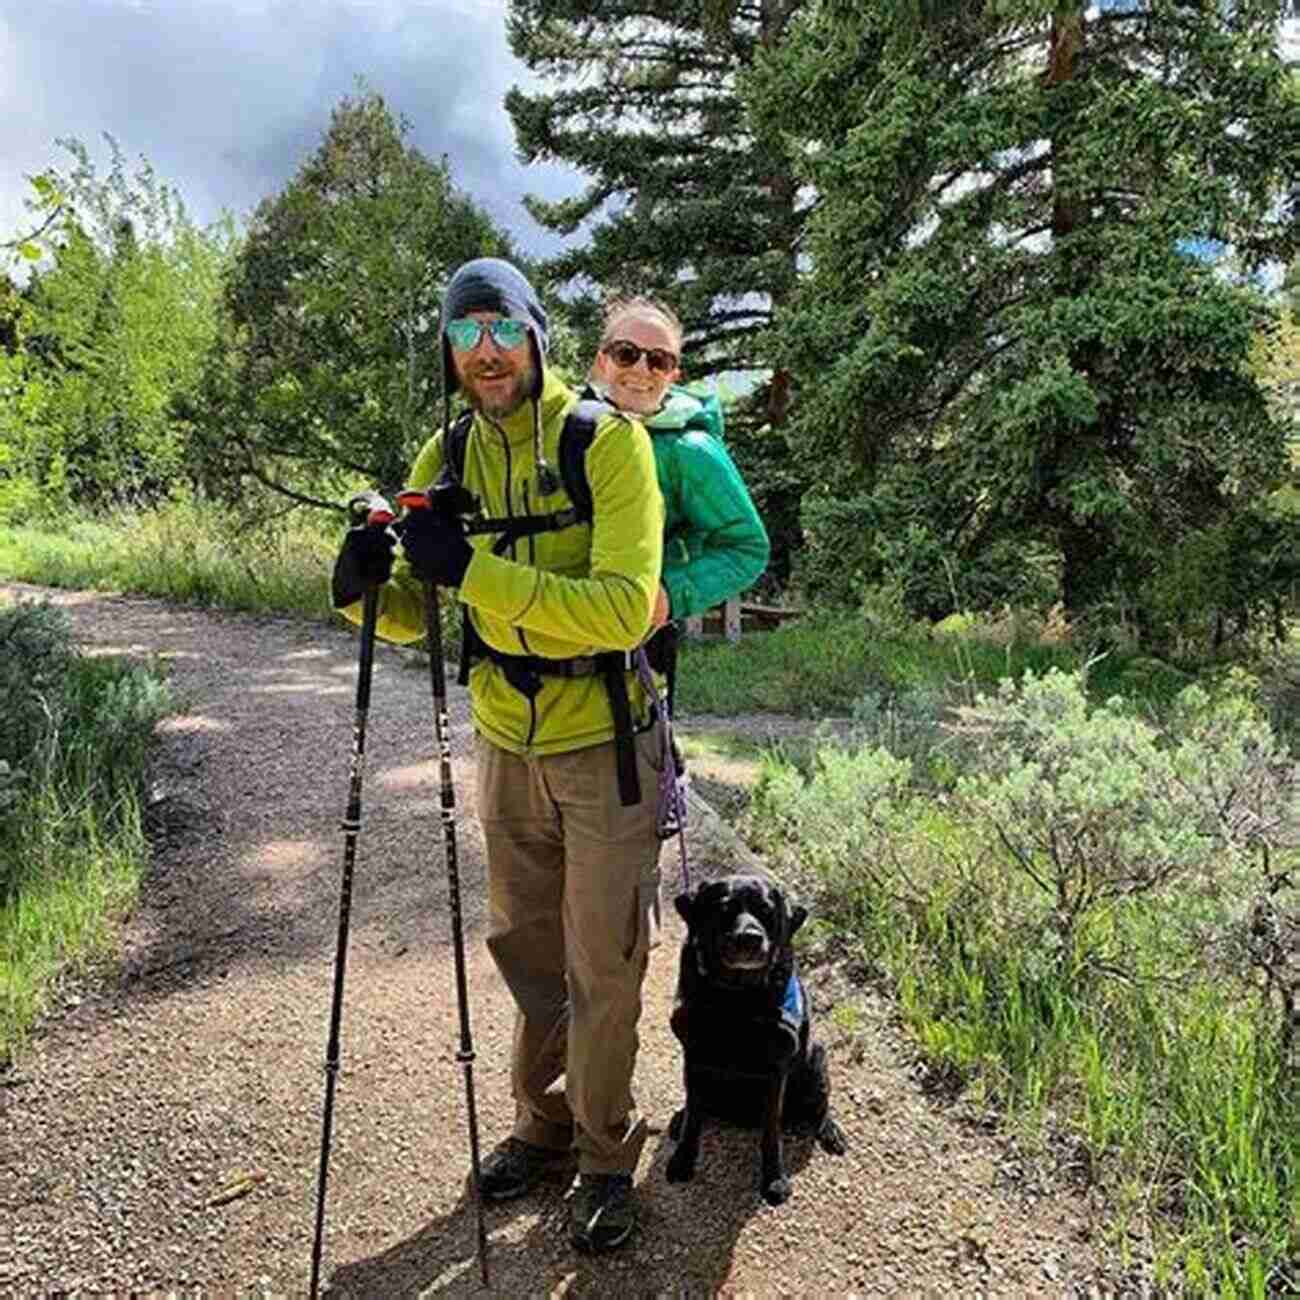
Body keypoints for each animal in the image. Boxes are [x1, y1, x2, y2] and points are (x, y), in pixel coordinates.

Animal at [665, 873, 847, 1206]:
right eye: (724, 909)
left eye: (766, 911)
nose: (750, 938)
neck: (737, 999)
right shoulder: (694, 1056)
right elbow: (694, 1117)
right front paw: (683, 1159)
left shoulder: (776, 1070)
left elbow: (771, 1133)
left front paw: (774, 1179)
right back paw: (679, 1117)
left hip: (816, 1059)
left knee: (820, 1105)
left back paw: (830, 1130)